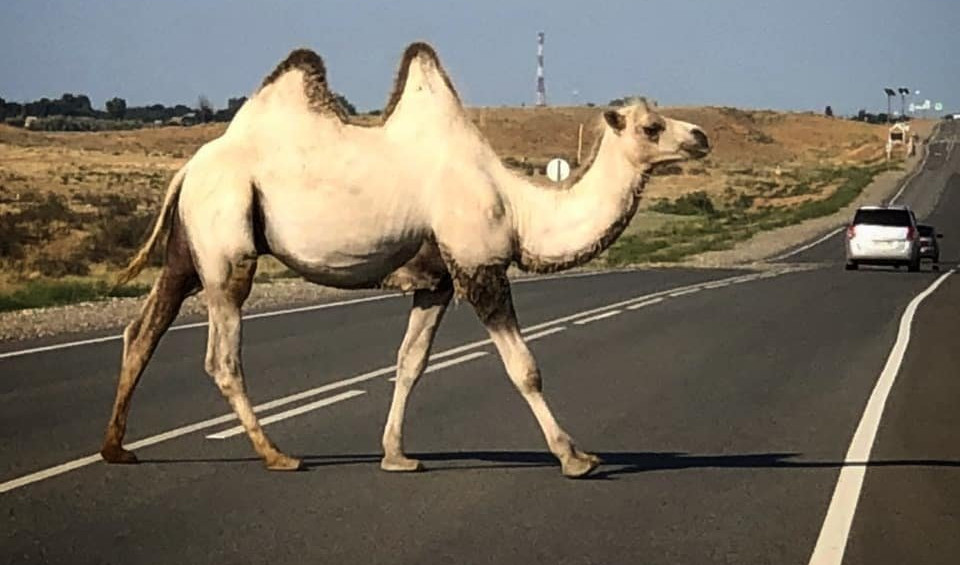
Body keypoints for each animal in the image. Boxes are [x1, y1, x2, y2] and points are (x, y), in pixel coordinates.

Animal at [101, 41, 708, 478]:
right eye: (651, 126)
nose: (700, 136)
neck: (518, 208)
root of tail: (189, 167)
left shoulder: (435, 282)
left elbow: (409, 364)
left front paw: (395, 455)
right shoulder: (479, 265)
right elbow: (525, 368)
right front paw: (575, 457)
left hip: (188, 249)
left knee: (143, 330)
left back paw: (116, 449)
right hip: (228, 242)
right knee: (222, 357)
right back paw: (277, 454)